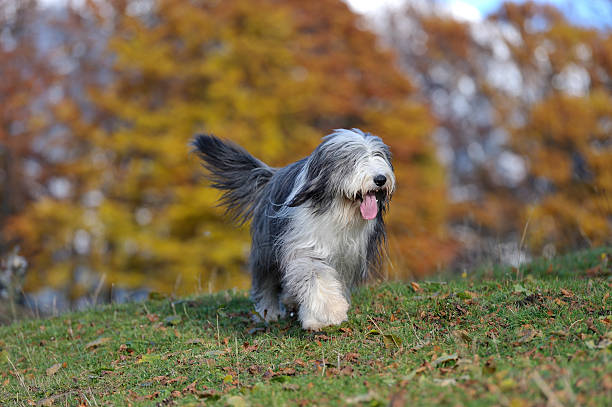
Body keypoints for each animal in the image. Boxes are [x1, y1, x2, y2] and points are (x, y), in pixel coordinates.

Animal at [195, 129, 396, 330]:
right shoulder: (305, 245)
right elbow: (315, 276)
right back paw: (268, 312)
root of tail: (272, 175)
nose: (380, 179)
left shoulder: (349, 257)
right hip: (266, 247)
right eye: (353, 160)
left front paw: (315, 318)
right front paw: (330, 311)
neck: (338, 212)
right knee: (266, 279)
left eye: (379, 155)